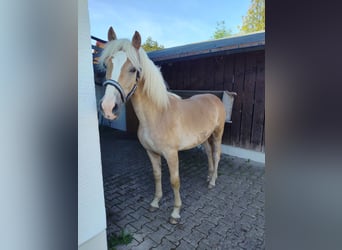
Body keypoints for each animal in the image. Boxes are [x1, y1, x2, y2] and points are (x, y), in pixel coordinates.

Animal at [99, 27, 227, 225]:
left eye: (133, 69)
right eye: (106, 65)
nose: (108, 108)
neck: (158, 115)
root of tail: (215, 98)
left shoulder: (171, 154)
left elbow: (175, 181)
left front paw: (175, 212)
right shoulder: (151, 152)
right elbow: (157, 175)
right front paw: (155, 202)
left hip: (217, 134)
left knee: (216, 154)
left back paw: (212, 181)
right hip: (204, 137)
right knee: (208, 154)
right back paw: (209, 175)